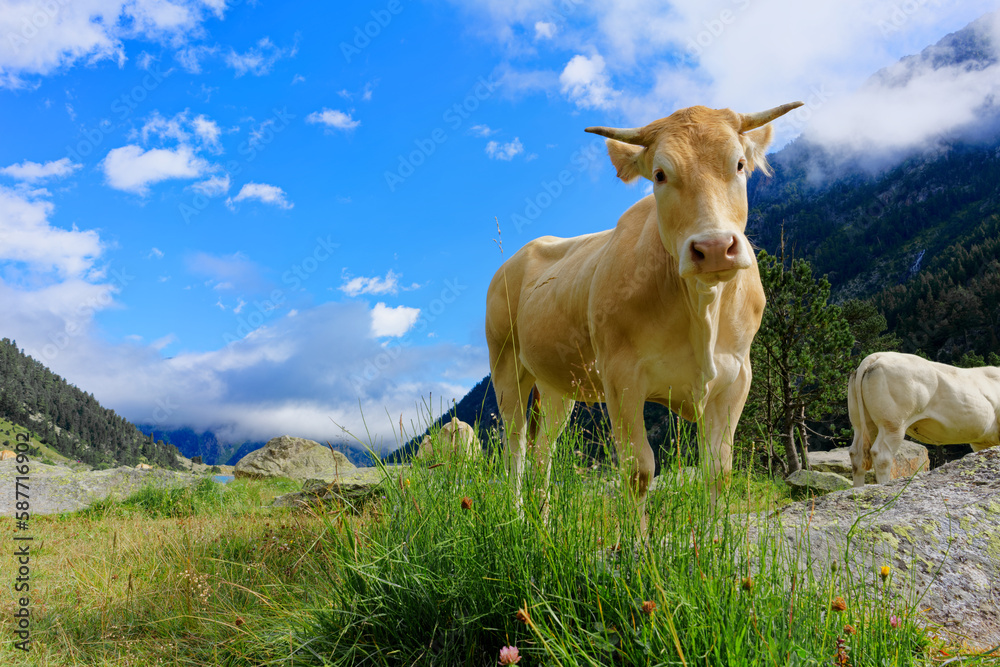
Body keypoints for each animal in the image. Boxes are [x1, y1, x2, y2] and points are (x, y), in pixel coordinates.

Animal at [484, 100, 804, 520]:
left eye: (738, 164)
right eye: (660, 174)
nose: (715, 248)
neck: (702, 309)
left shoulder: (736, 379)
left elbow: (719, 472)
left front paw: (716, 534)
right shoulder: (622, 377)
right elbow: (638, 471)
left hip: (556, 384)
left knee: (544, 450)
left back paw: (545, 520)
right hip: (506, 364)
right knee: (516, 445)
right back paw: (519, 515)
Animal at [848, 352, 996, 488]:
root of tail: (876, 356)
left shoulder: (980, 442)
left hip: (862, 423)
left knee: (857, 454)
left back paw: (857, 489)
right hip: (893, 423)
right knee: (881, 455)